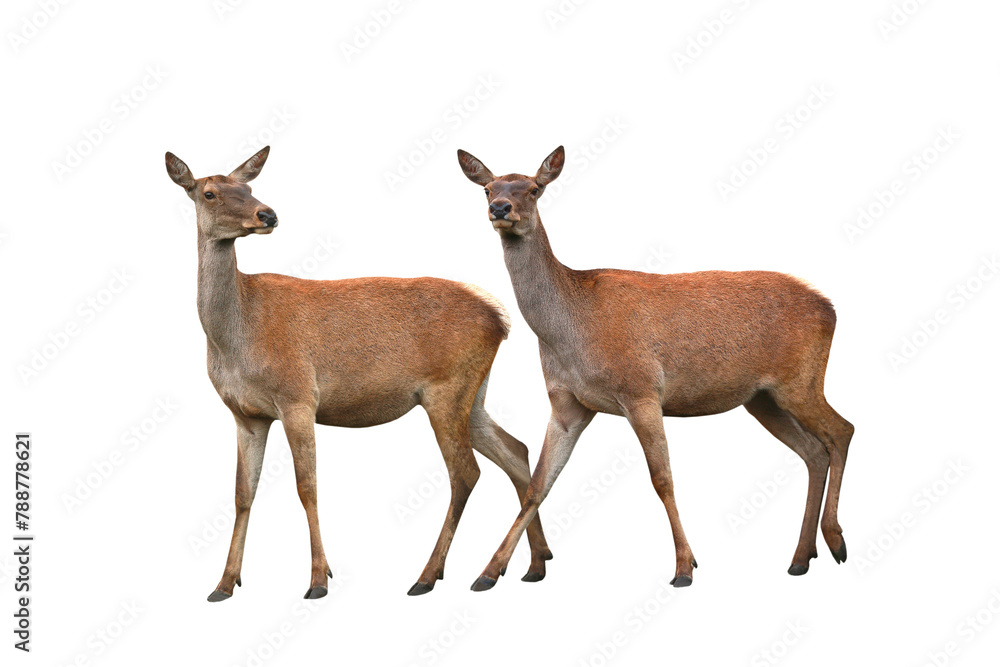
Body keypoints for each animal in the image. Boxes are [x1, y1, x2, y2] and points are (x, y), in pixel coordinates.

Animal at [165, 146, 553, 602]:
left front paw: (319, 579)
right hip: (473, 396)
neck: (234, 341)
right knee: (517, 451)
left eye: (248, 187)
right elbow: (244, 493)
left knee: (466, 473)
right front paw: (224, 583)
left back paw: (431, 575)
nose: (267, 214)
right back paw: (534, 563)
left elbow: (307, 487)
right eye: (209, 193)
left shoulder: (298, 397)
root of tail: (500, 319)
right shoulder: (246, 414)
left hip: (447, 389)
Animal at [457, 146, 855, 591]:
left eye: (534, 188)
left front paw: (684, 567)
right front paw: (490, 572)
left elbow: (662, 478)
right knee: (813, 451)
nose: (500, 208)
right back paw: (801, 557)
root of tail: (830, 308)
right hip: (763, 399)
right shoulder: (567, 404)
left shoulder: (641, 391)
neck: (569, 334)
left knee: (842, 430)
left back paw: (836, 541)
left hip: (800, 381)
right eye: (488, 187)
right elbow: (539, 483)